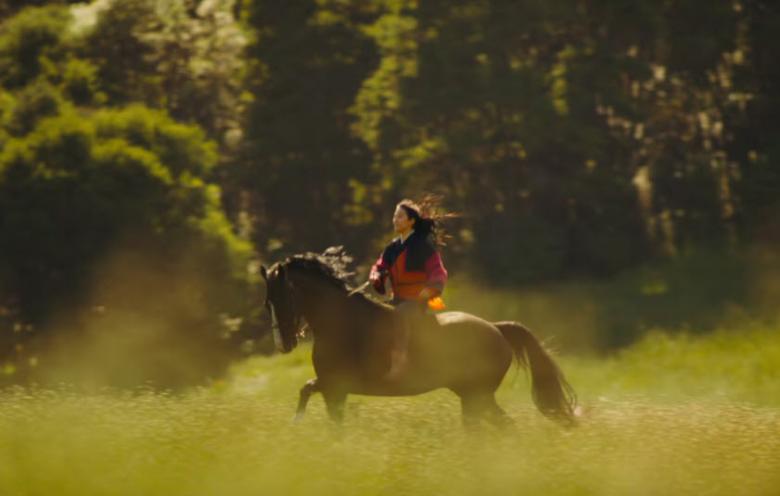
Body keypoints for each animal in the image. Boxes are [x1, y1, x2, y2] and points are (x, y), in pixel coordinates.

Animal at [264, 250, 580, 428]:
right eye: (268, 301)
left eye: (283, 297)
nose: (284, 344)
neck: (343, 324)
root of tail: (497, 328)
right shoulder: (330, 386)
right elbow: (306, 391)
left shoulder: (335, 388)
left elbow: (326, 414)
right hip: (472, 397)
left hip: (477, 397)